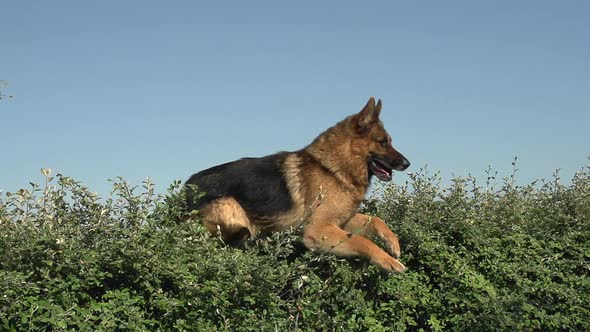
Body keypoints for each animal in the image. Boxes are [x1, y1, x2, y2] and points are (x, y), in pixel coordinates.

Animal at [185, 97, 412, 274]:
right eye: (383, 142)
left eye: (389, 141)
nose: (407, 163)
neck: (331, 168)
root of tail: (185, 189)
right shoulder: (319, 230)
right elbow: (362, 241)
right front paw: (389, 262)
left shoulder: (342, 221)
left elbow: (376, 220)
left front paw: (393, 243)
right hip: (230, 207)